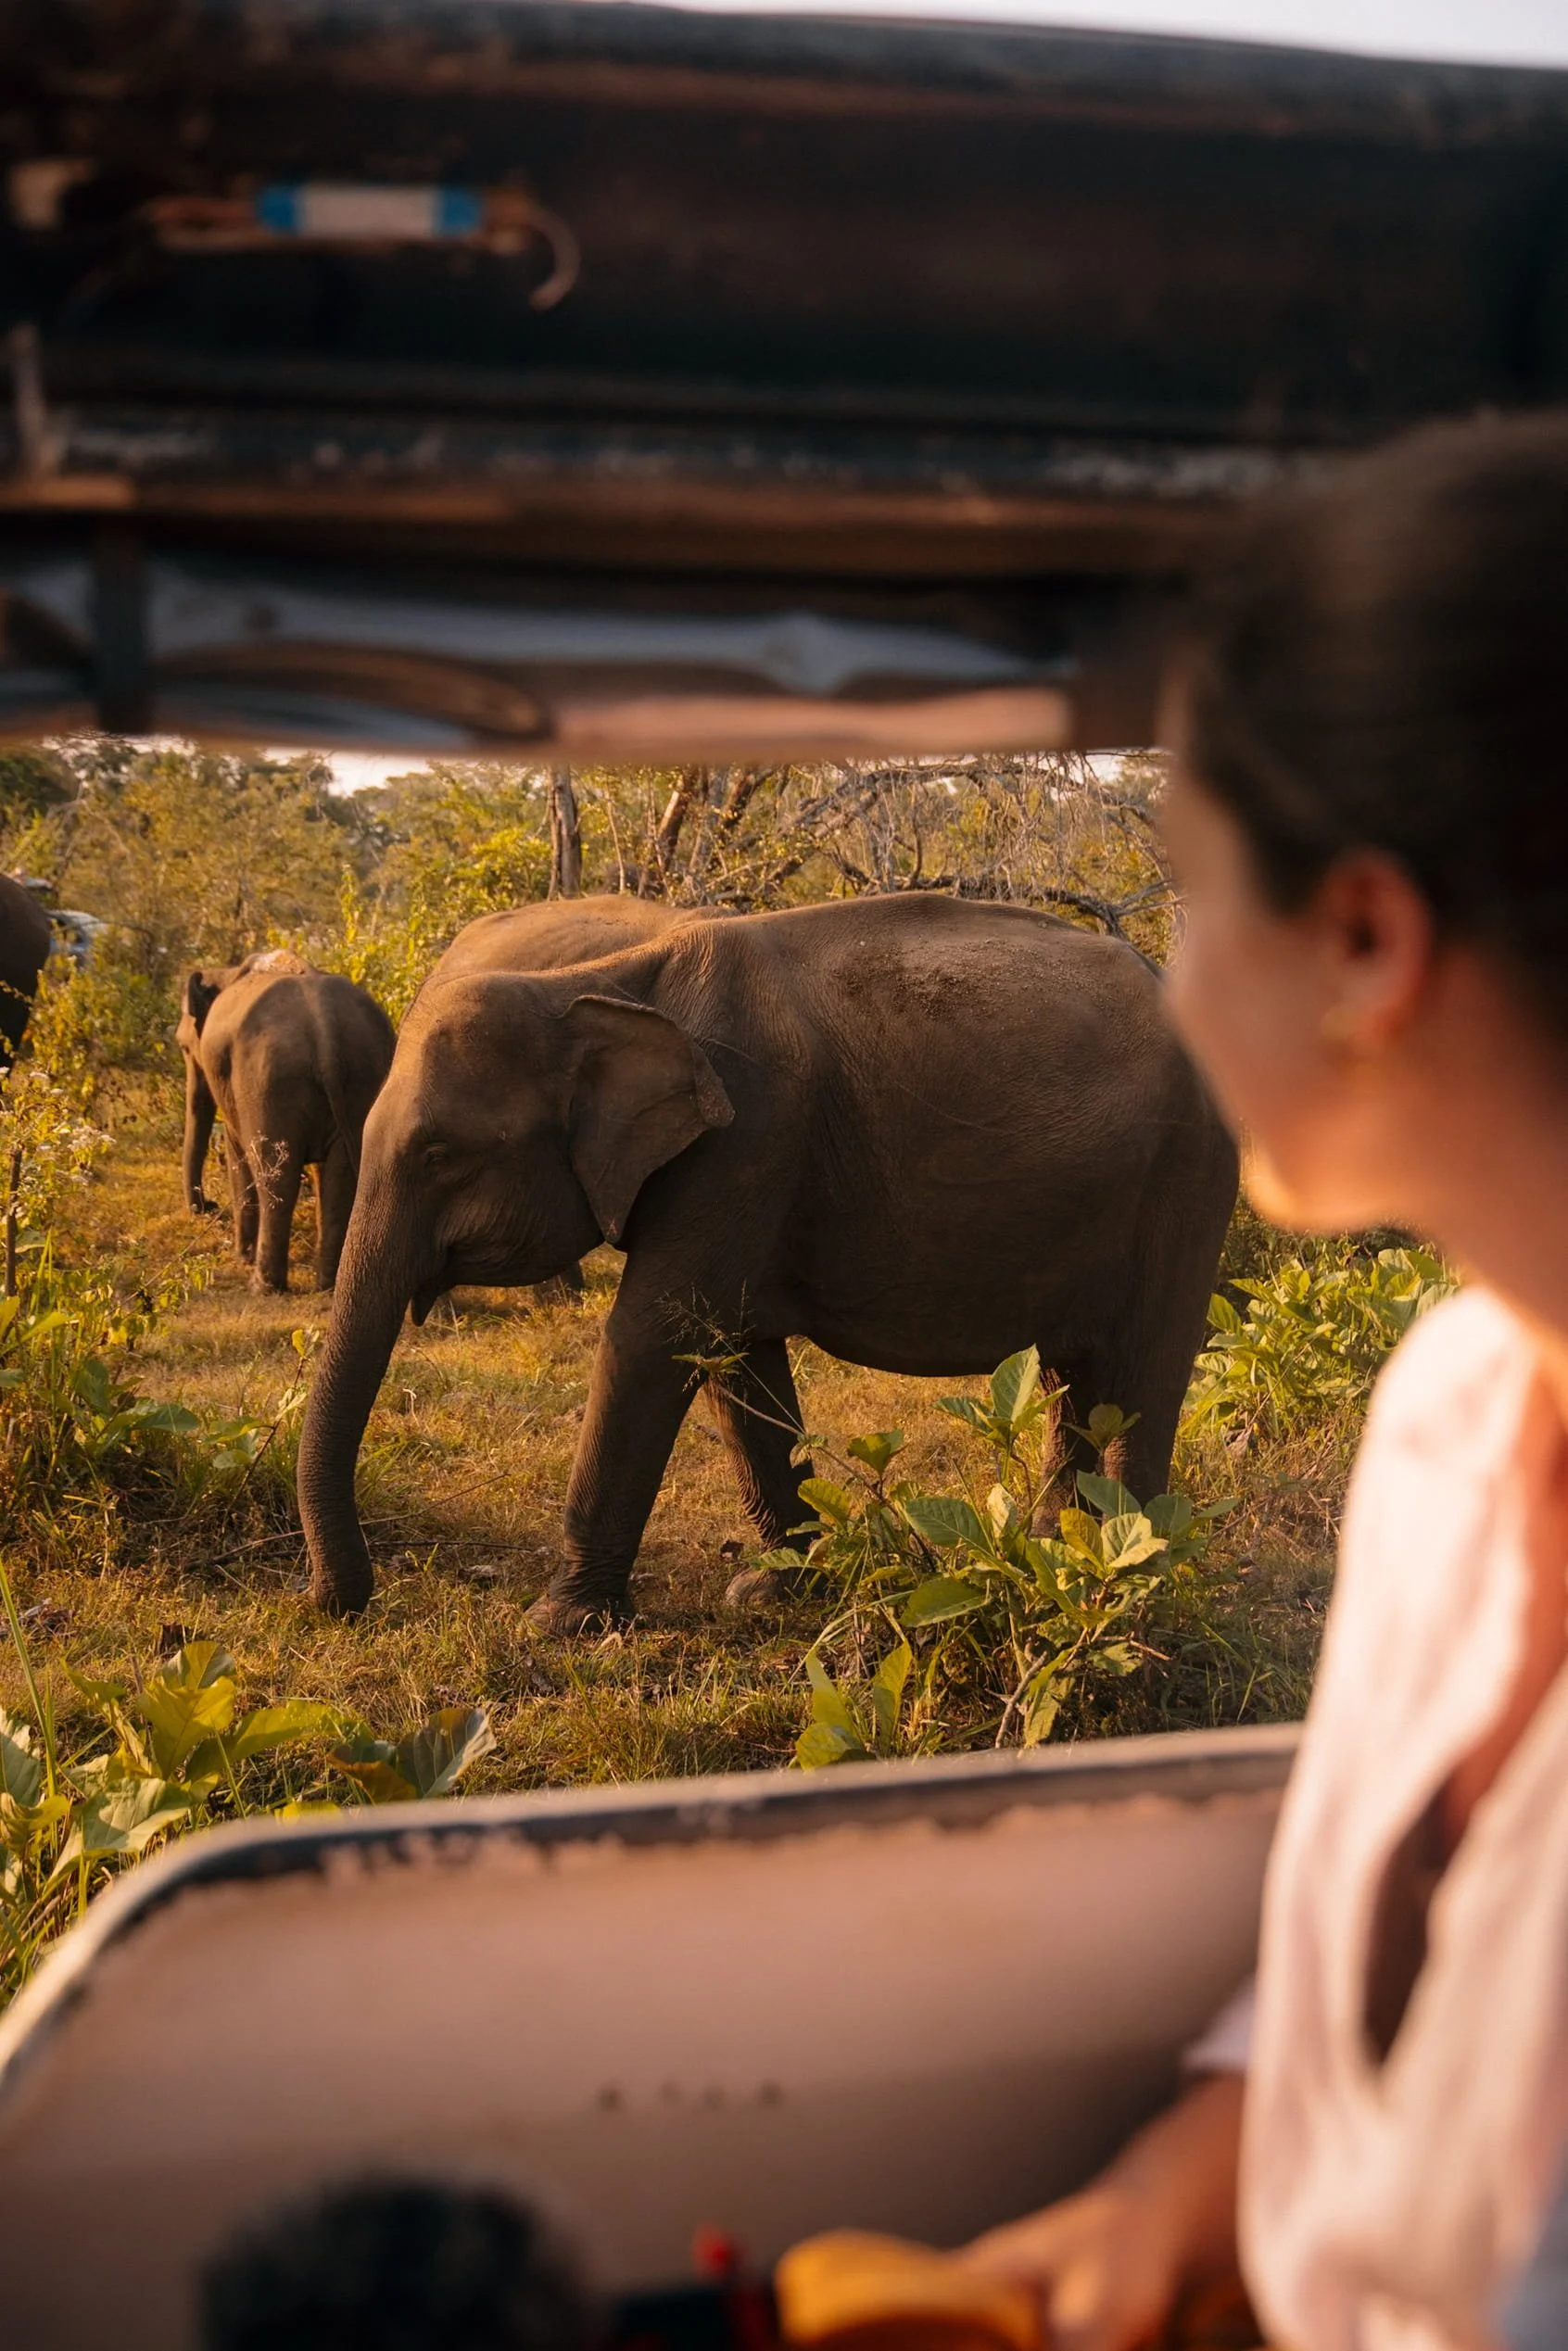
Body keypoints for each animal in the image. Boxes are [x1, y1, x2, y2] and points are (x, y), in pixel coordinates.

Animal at [177, 951, 396, 1294]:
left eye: (185, 1049)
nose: (208, 1206)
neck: (227, 972)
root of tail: (324, 1027)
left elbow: (238, 1152)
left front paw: (241, 1257)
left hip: (268, 1082)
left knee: (277, 1177)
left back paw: (262, 1286)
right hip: (365, 1074)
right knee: (338, 1178)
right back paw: (327, 1286)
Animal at [298, 894, 1238, 1622]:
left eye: (438, 1153)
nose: (336, 1603)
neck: (600, 984)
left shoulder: (746, 1141)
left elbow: (651, 1339)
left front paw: (559, 1624)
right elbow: (731, 1357)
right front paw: (775, 1594)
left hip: (1188, 1175)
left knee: (1146, 1369)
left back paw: (1129, 1590)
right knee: (1072, 1377)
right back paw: (1057, 1560)